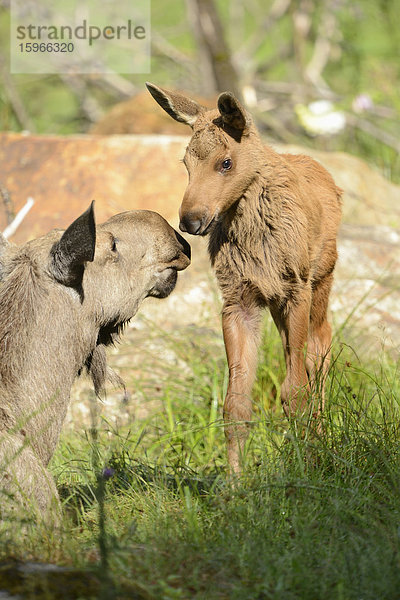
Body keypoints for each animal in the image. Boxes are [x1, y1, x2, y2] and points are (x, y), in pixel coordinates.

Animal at [148, 82, 342, 474]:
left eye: (226, 162)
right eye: (185, 163)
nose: (190, 220)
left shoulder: (295, 288)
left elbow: (294, 392)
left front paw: (303, 469)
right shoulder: (239, 300)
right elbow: (235, 405)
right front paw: (237, 483)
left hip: (320, 281)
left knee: (320, 350)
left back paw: (321, 442)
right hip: (280, 305)